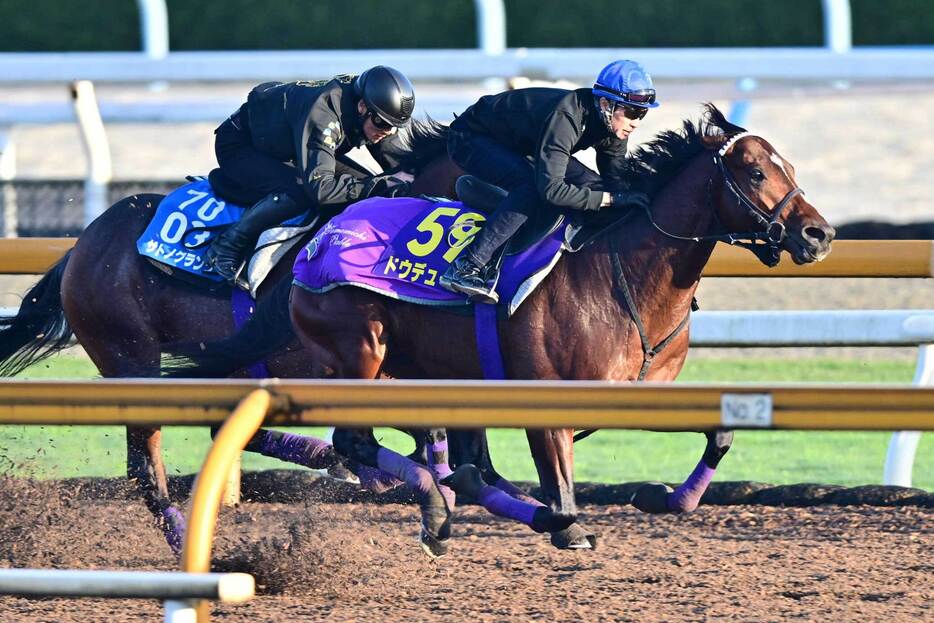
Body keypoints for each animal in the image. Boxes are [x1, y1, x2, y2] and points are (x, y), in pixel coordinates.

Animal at [159, 105, 832, 552]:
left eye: (790, 165)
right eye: (754, 173)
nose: (819, 234)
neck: (624, 270)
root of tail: (318, 236)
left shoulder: (640, 392)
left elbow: (720, 434)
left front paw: (665, 496)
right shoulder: (546, 398)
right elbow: (560, 494)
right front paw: (561, 522)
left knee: (446, 459)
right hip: (361, 350)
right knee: (357, 441)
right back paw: (437, 507)